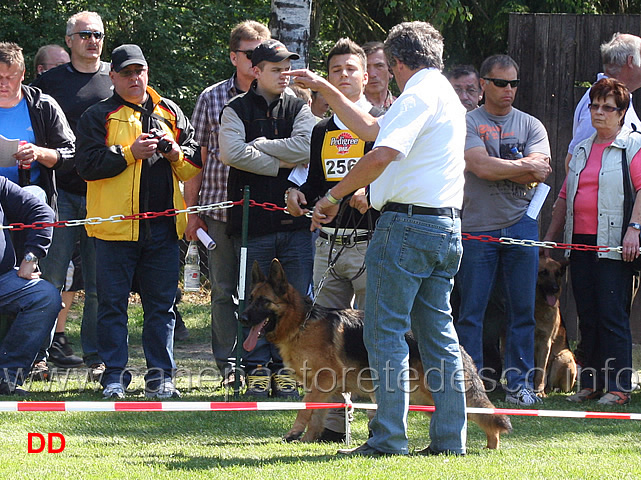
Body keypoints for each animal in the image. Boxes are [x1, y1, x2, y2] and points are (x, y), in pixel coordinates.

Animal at [242, 258, 512, 450]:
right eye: (251, 298)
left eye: (264, 301)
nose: (242, 318)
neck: (302, 323)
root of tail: (459, 346)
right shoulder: (321, 387)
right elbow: (316, 414)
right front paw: (308, 439)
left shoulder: (324, 381)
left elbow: (304, 409)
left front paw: (294, 433)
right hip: (425, 396)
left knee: (480, 414)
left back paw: (490, 445)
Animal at [532, 256, 576, 396]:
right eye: (543, 272)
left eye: (557, 274)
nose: (555, 288)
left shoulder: (545, 342)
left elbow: (540, 372)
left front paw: (538, 392)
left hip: (564, 357)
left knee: (552, 386)